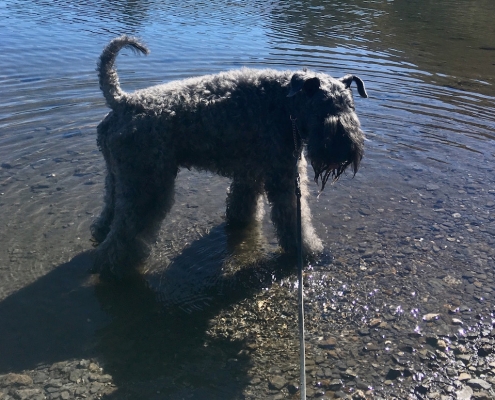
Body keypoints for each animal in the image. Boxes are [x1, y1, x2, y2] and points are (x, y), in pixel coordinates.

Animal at [90, 36, 368, 280]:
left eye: (351, 107)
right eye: (326, 111)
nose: (346, 151)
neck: (286, 108)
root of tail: (122, 102)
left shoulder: (250, 173)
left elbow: (242, 204)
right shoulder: (284, 178)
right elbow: (294, 220)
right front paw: (309, 251)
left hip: (120, 178)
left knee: (109, 214)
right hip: (148, 186)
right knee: (123, 239)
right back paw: (117, 272)